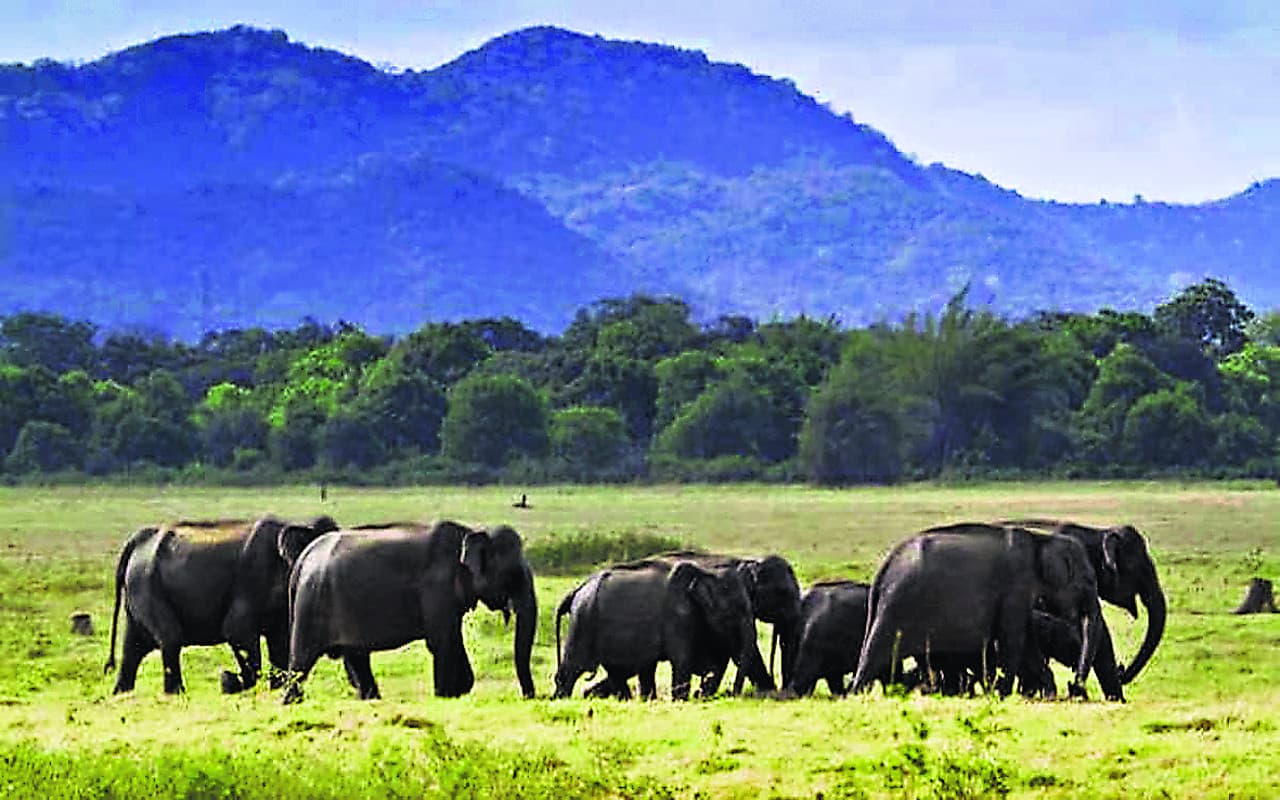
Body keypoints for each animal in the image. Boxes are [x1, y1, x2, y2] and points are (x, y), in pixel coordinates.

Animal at [104, 515, 338, 695]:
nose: (226, 675)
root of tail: (138, 539)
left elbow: (279, 642)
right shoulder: (250, 583)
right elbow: (236, 631)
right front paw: (235, 682)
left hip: (139, 591)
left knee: (132, 649)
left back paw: (121, 693)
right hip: (147, 585)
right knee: (170, 639)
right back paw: (176, 693)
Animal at [280, 520, 536, 703]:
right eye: (512, 574)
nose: (529, 697)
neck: (470, 532)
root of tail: (302, 558)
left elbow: (451, 639)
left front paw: (459, 690)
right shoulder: (436, 589)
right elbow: (442, 641)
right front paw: (445, 696)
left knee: (356, 656)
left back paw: (372, 699)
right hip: (311, 604)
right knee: (302, 661)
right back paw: (291, 702)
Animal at [850, 523, 1106, 699]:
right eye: (1089, 582)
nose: (1074, 689)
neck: (1041, 539)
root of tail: (883, 568)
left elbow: (1028, 640)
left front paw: (1047, 693)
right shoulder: (1015, 585)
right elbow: (1014, 639)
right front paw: (1003, 694)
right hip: (898, 604)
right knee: (877, 652)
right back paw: (856, 693)